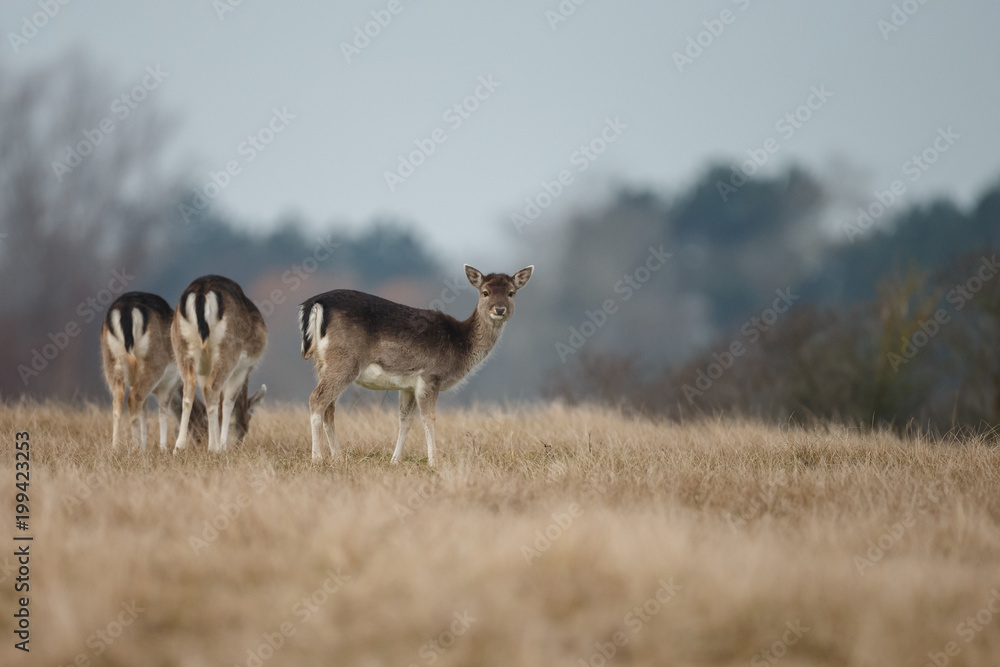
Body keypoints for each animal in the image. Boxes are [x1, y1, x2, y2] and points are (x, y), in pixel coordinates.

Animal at [100, 291, 182, 450]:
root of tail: (126, 309)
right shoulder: (170, 383)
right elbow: (163, 412)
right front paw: (163, 449)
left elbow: (144, 413)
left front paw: (145, 448)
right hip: (153, 364)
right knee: (133, 398)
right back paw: (135, 447)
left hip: (113, 363)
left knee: (118, 401)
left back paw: (115, 447)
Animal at [172, 275, 268, 454]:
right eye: (244, 429)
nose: (237, 447)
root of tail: (201, 292)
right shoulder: (242, 369)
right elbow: (228, 402)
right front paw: (222, 446)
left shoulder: (204, 370)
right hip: (228, 350)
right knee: (212, 389)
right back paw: (213, 448)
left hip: (182, 346)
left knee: (189, 391)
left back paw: (179, 447)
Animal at [298, 264, 533, 466]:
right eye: (485, 292)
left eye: (511, 292)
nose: (499, 309)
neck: (459, 345)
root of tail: (315, 303)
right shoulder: (430, 375)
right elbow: (429, 418)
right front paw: (434, 461)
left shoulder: (408, 385)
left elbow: (405, 420)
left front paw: (395, 460)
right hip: (344, 360)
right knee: (316, 399)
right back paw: (317, 458)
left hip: (322, 363)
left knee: (329, 407)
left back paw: (338, 458)